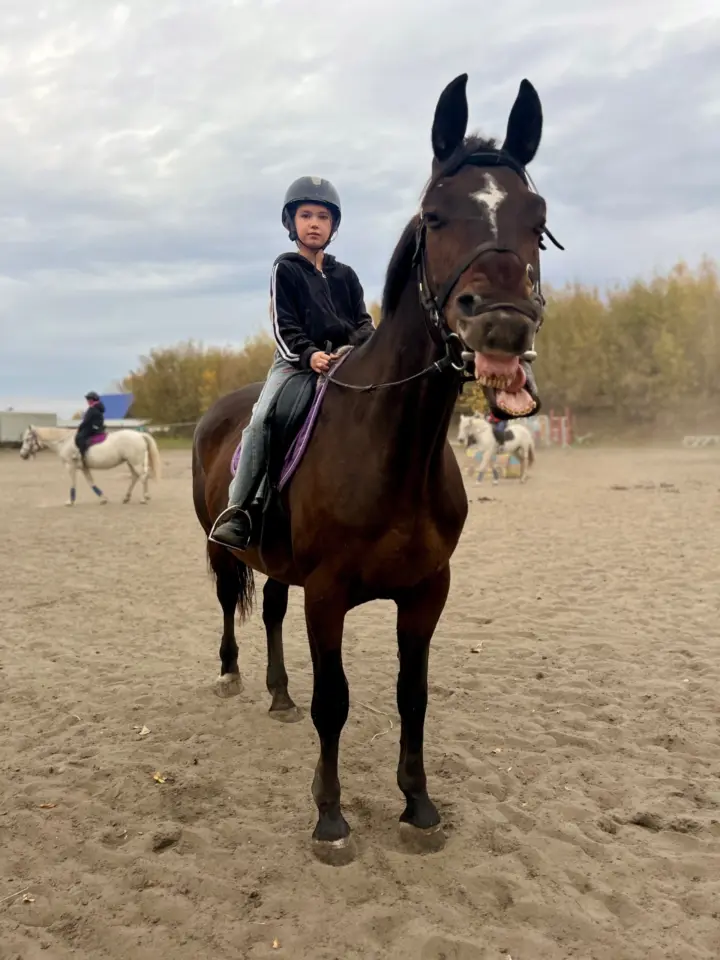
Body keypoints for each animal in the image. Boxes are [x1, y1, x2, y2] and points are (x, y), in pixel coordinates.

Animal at [19, 425, 162, 505]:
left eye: (27, 439)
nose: (22, 455)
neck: (64, 441)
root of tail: (139, 434)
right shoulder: (84, 468)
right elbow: (91, 482)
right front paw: (103, 499)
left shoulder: (70, 466)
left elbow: (73, 483)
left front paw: (70, 501)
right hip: (130, 462)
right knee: (135, 477)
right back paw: (126, 498)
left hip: (135, 462)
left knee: (143, 477)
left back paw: (144, 498)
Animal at [192, 72, 560, 865]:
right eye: (434, 214)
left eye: (537, 217)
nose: (503, 324)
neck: (396, 452)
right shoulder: (329, 595)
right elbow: (335, 702)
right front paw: (330, 819)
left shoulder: (426, 592)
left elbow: (410, 696)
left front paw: (418, 806)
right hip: (224, 545)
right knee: (231, 602)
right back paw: (232, 675)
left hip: (281, 563)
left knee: (271, 609)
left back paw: (275, 692)